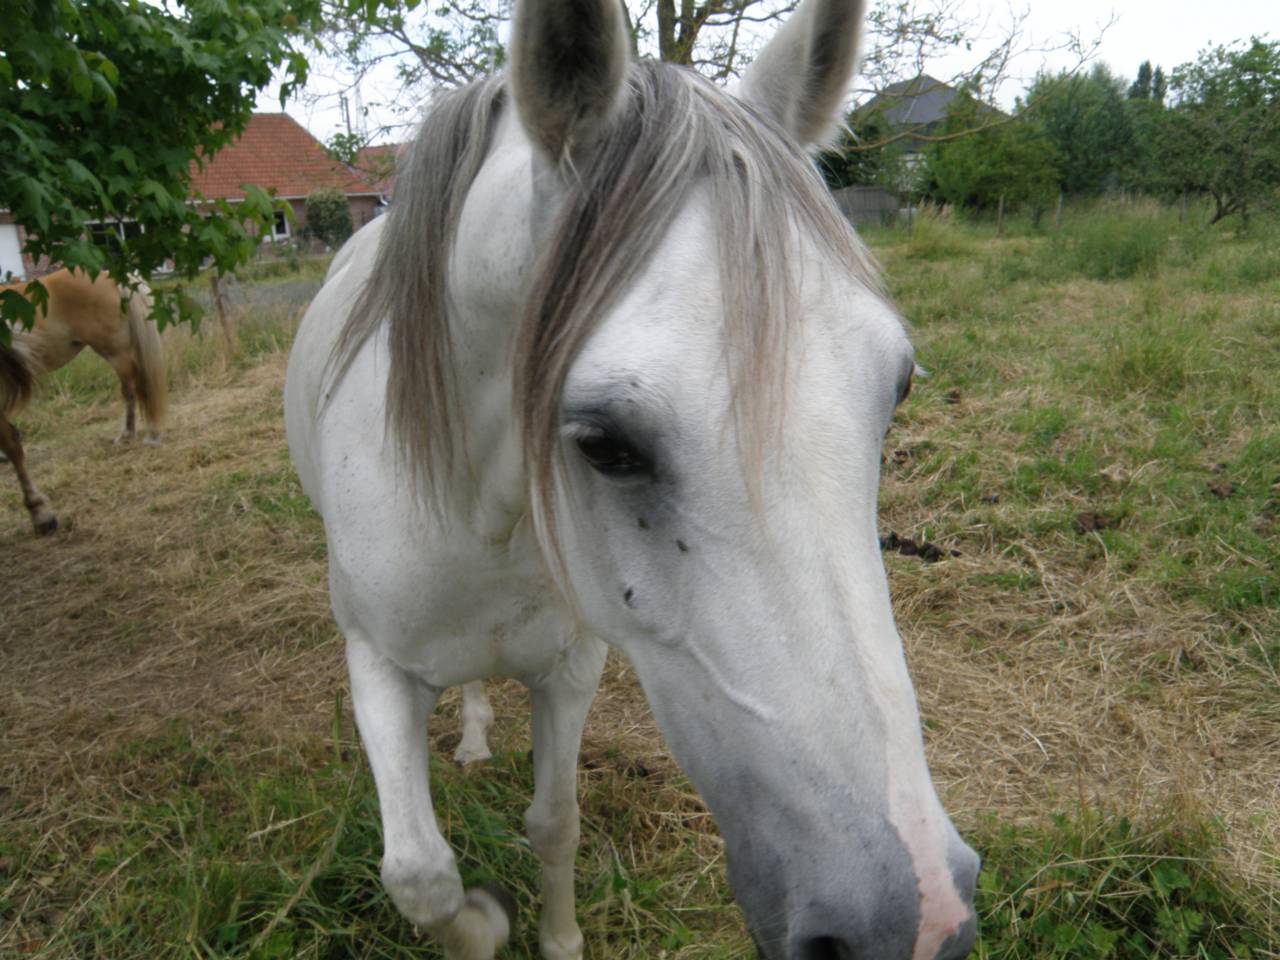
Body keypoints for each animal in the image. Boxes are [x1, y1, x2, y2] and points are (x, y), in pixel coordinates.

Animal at [284, 0, 980, 956]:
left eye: (897, 388)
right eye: (605, 444)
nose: (914, 922)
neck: (484, 523)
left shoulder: (572, 667)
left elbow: (554, 824)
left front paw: (557, 938)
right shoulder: (376, 668)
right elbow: (420, 877)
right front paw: (485, 921)